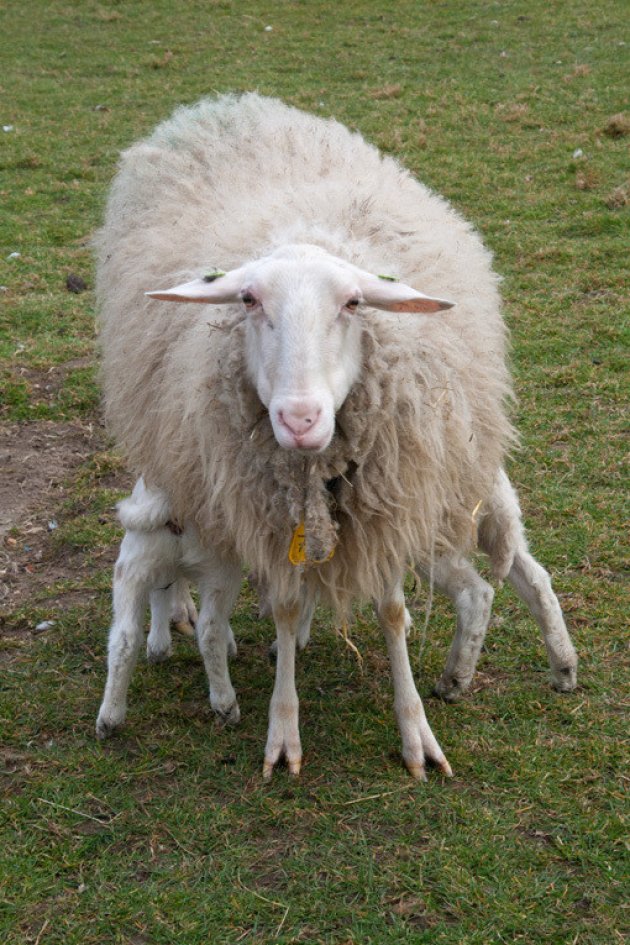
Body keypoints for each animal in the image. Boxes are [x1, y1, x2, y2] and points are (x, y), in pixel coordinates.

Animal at [95, 92, 576, 780]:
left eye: (353, 303)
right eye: (248, 300)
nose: (300, 419)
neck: (313, 475)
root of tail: (232, 105)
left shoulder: (389, 508)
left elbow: (391, 613)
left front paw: (416, 734)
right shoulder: (273, 516)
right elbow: (289, 605)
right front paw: (282, 731)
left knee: (504, 579)